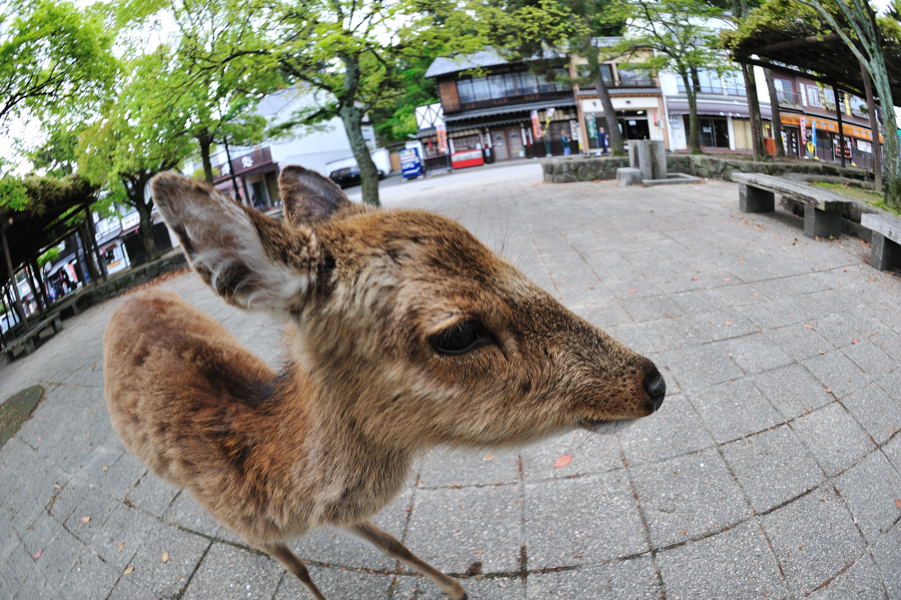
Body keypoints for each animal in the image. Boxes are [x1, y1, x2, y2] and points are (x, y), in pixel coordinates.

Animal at [103, 165, 668, 600]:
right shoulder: (248, 524)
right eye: (456, 332)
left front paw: (457, 590)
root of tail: (127, 301)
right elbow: (299, 568)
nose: (652, 382)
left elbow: (392, 542)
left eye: (510, 265)